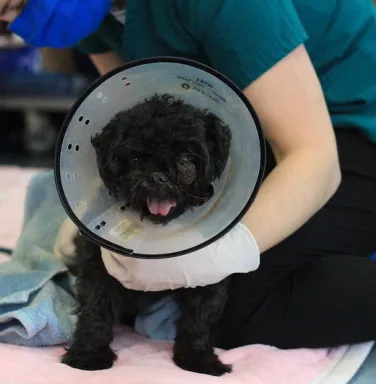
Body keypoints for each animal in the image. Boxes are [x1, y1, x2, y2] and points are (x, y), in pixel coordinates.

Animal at [61, 93, 232, 376]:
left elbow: (198, 318)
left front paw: (198, 359)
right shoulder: (95, 263)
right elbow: (95, 308)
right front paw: (88, 355)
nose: (158, 176)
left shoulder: (208, 274)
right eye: (134, 159)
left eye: (186, 157)